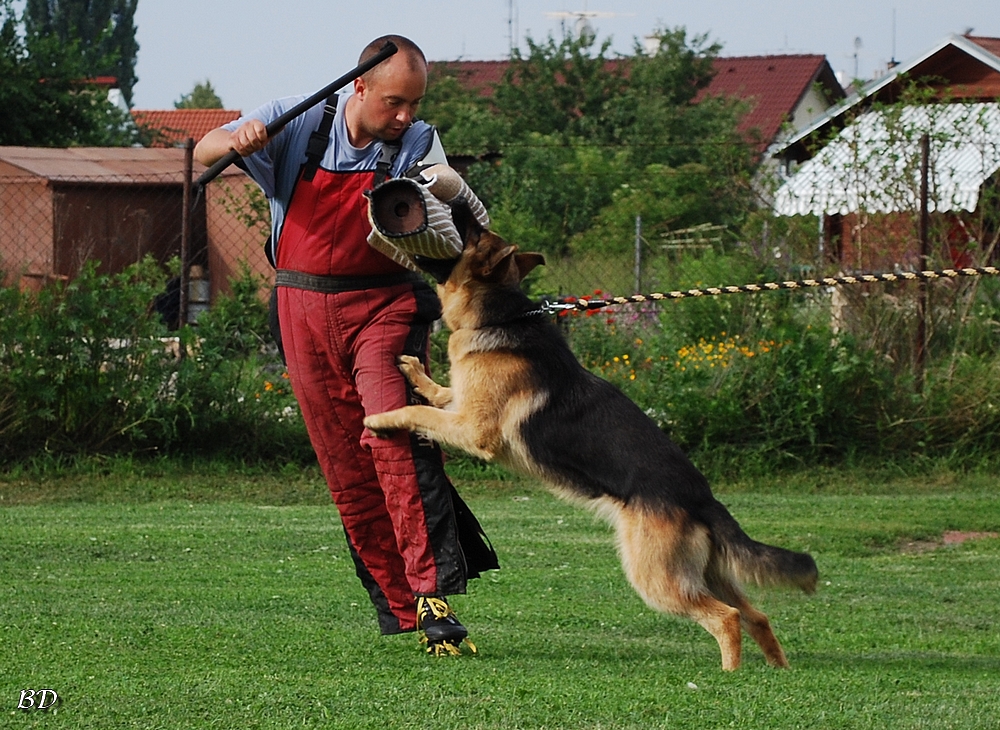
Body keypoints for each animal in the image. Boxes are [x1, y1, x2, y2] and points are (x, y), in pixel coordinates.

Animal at [364, 208, 816, 668]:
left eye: (472, 230)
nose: (459, 208)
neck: (500, 315)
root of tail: (702, 498)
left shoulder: (475, 430)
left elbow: (420, 411)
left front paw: (381, 418)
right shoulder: (463, 402)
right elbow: (439, 392)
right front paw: (413, 371)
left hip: (657, 578)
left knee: (727, 617)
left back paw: (730, 675)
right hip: (707, 573)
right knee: (757, 615)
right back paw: (774, 672)